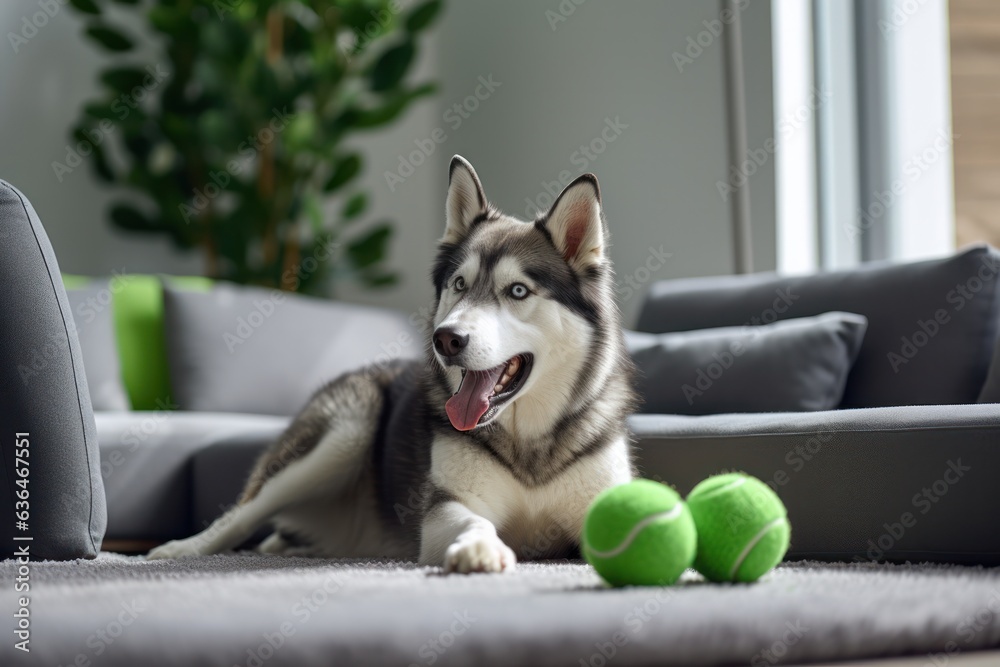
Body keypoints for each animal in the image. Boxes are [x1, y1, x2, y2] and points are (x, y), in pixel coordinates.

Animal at [148, 157, 632, 576]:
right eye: (459, 284)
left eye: (517, 291)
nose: (447, 339)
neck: (528, 442)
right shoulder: (443, 508)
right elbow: (472, 519)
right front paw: (479, 546)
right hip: (344, 434)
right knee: (240, 516)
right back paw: (181, 549)